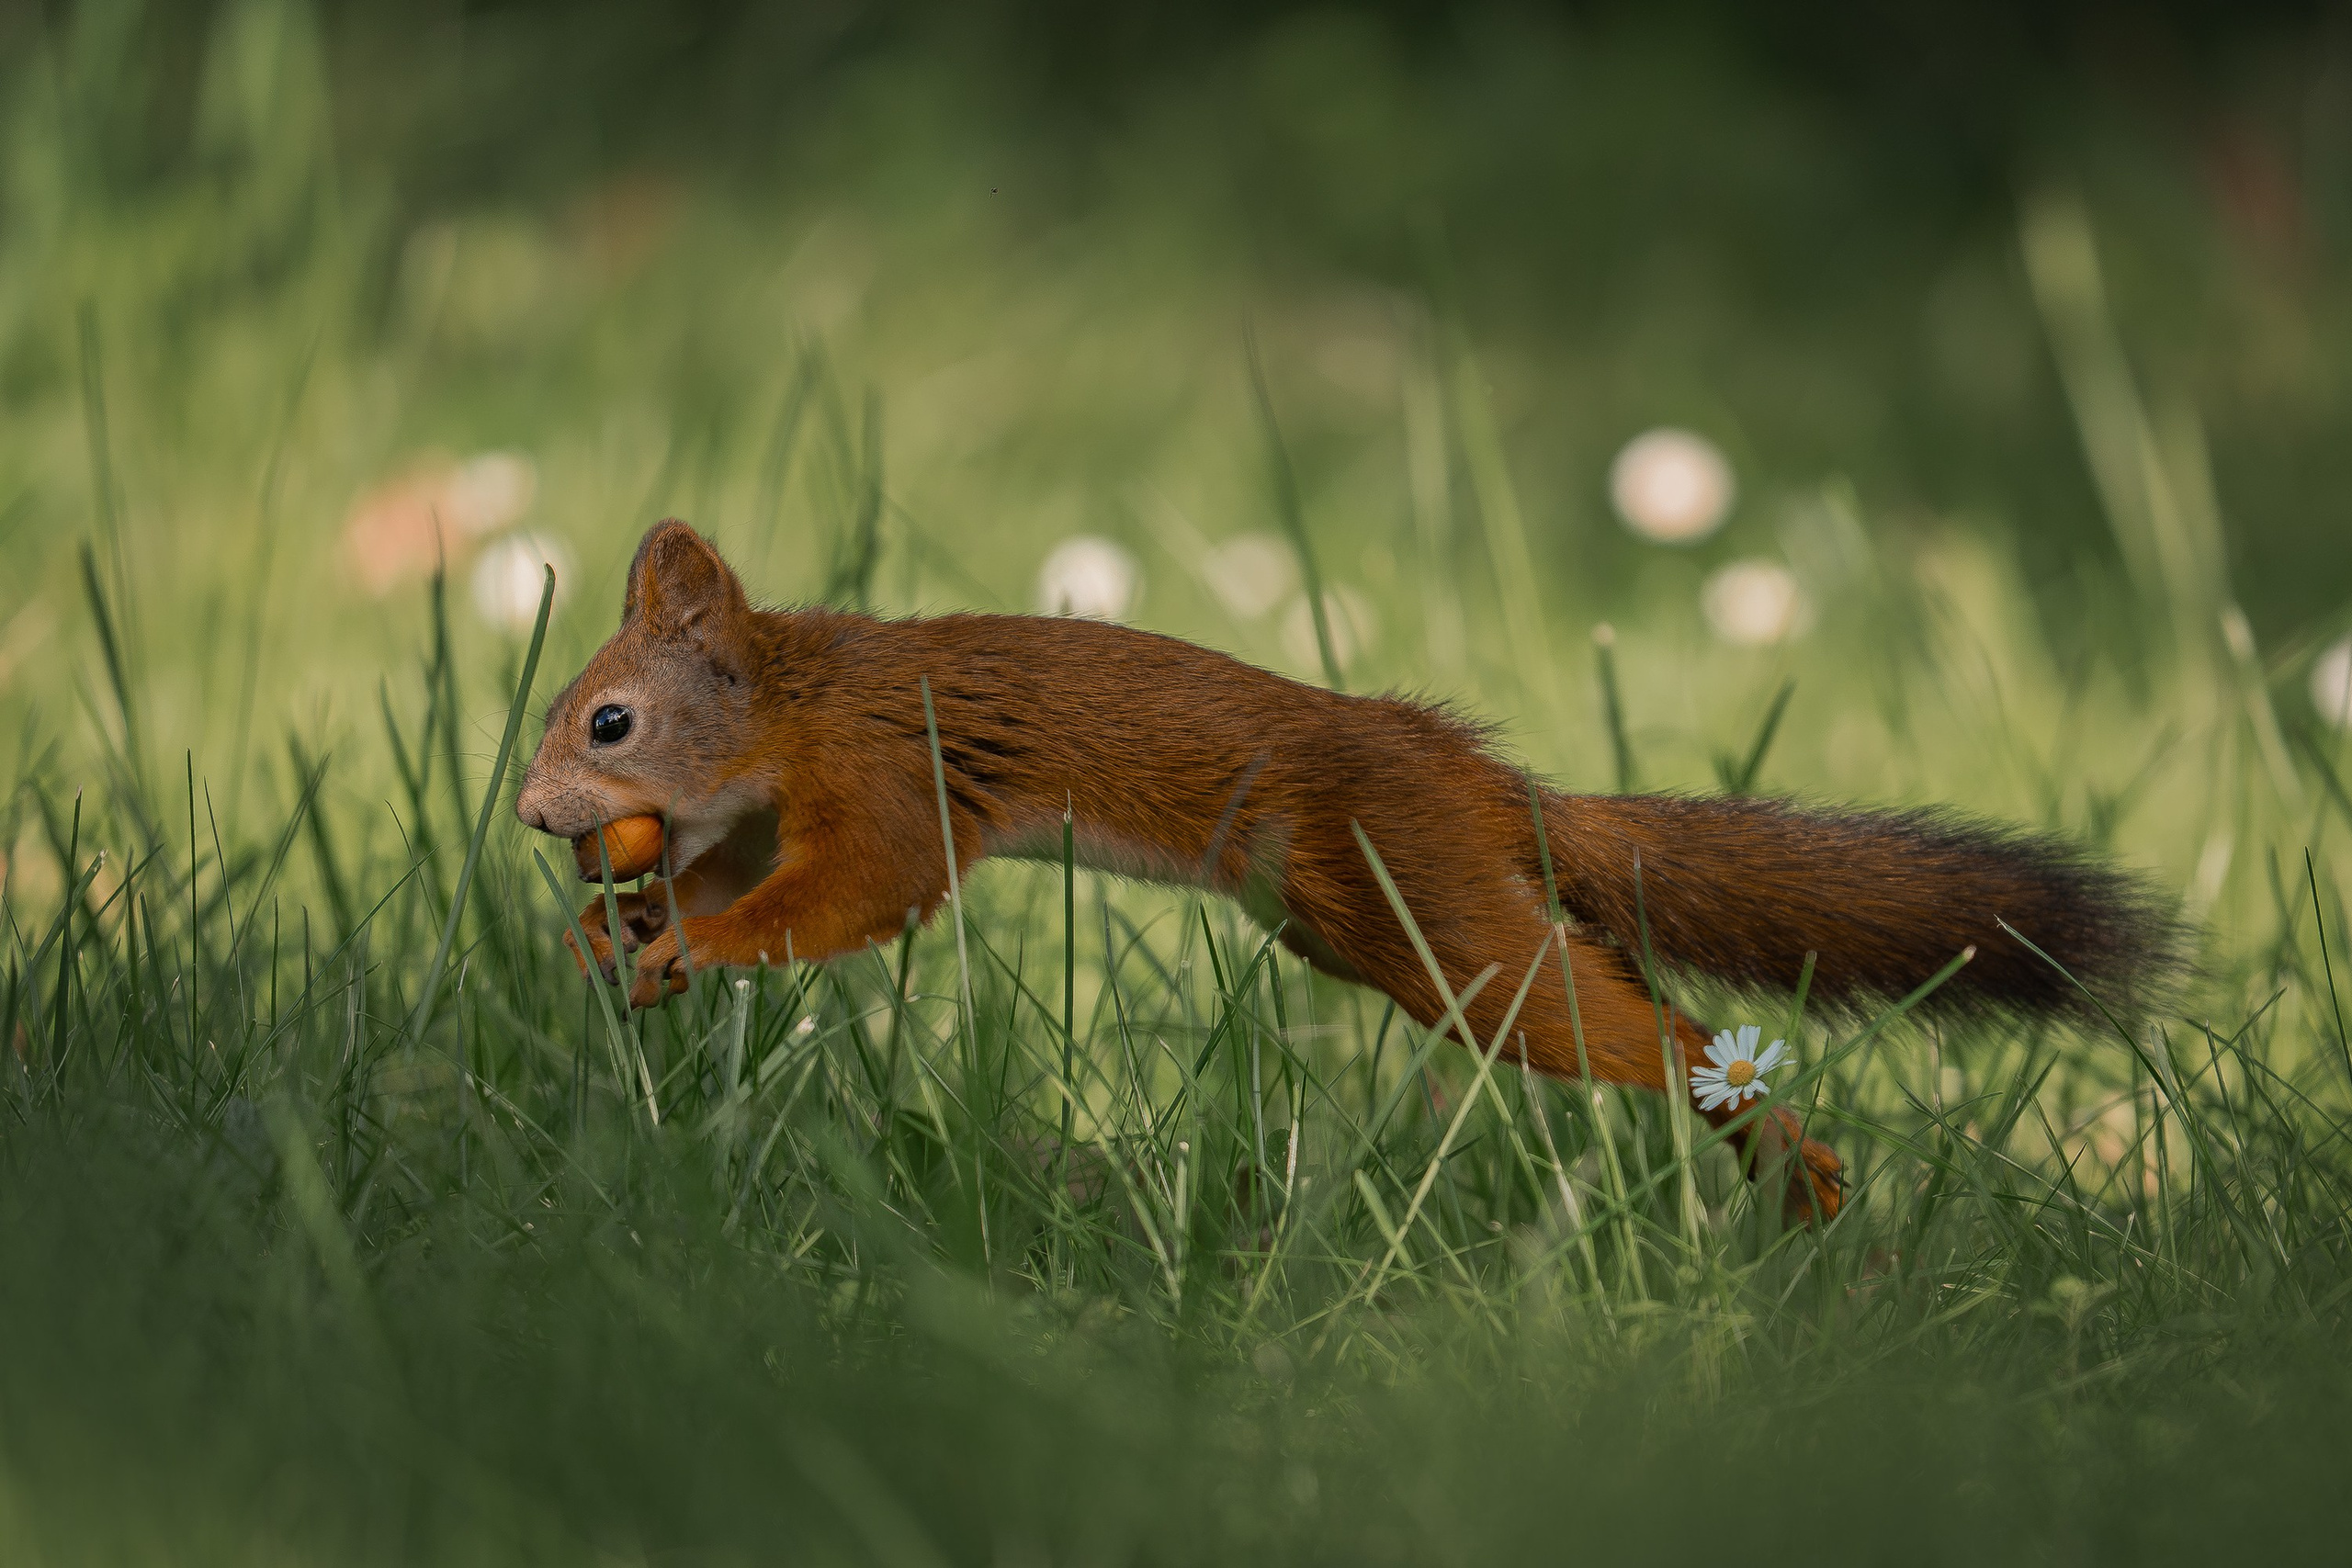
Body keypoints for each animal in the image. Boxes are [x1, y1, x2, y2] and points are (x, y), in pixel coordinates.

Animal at [516, 520, 2177, 1222]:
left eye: (608, 718)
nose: (533, 813)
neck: (796, 703)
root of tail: (1486, 780)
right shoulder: (746, 816)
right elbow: (725, 879)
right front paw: (620, 935)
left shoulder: (884, 780)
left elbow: (859, 895)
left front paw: (693, 949)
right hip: (1376, 918)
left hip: (1432, 919)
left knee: (1643, 1028)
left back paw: (1787, 1152)